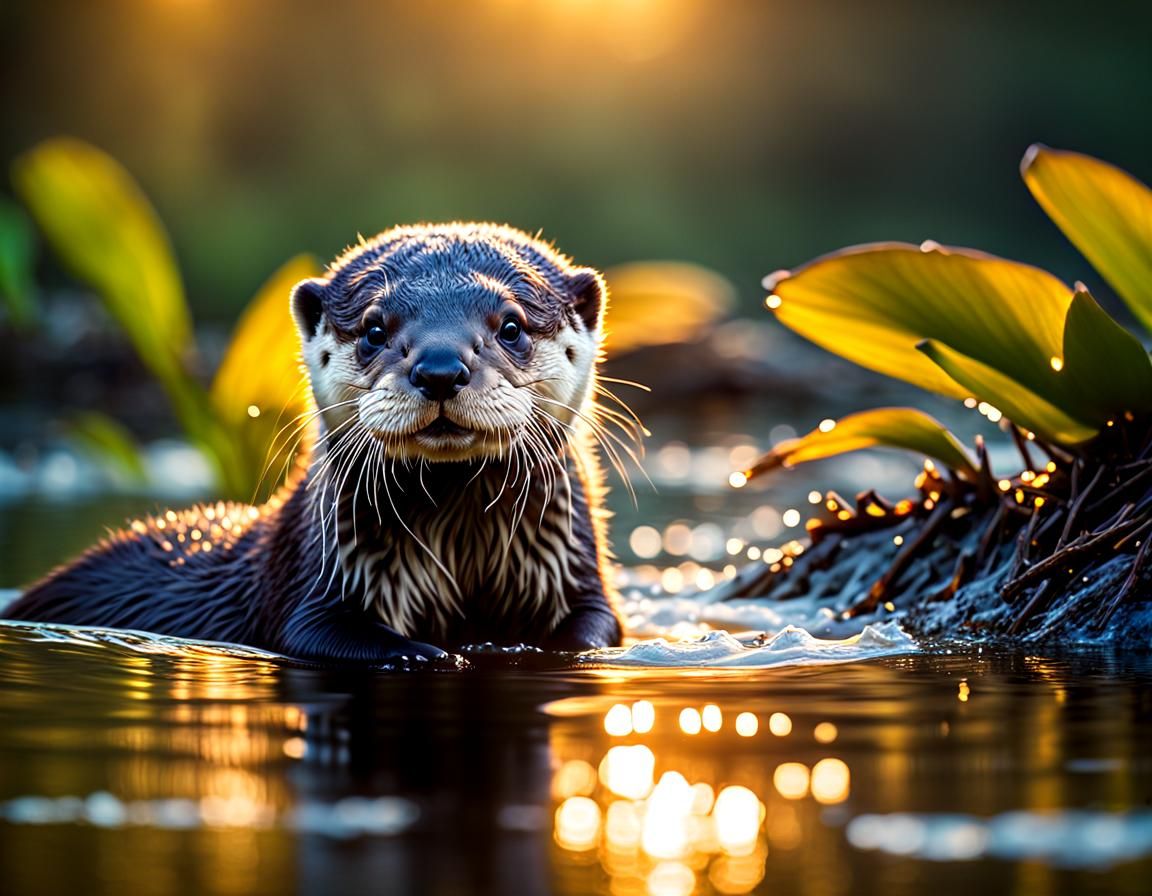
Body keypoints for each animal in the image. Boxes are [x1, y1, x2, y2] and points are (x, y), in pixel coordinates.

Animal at [5, 223, 626, 662]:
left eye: (511, 326)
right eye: (376, 328)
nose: (440, 367)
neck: (460, 549)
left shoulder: (580, 579)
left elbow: (595, 628)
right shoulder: (315, 585)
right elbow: (320, 632)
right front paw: (431, 653)